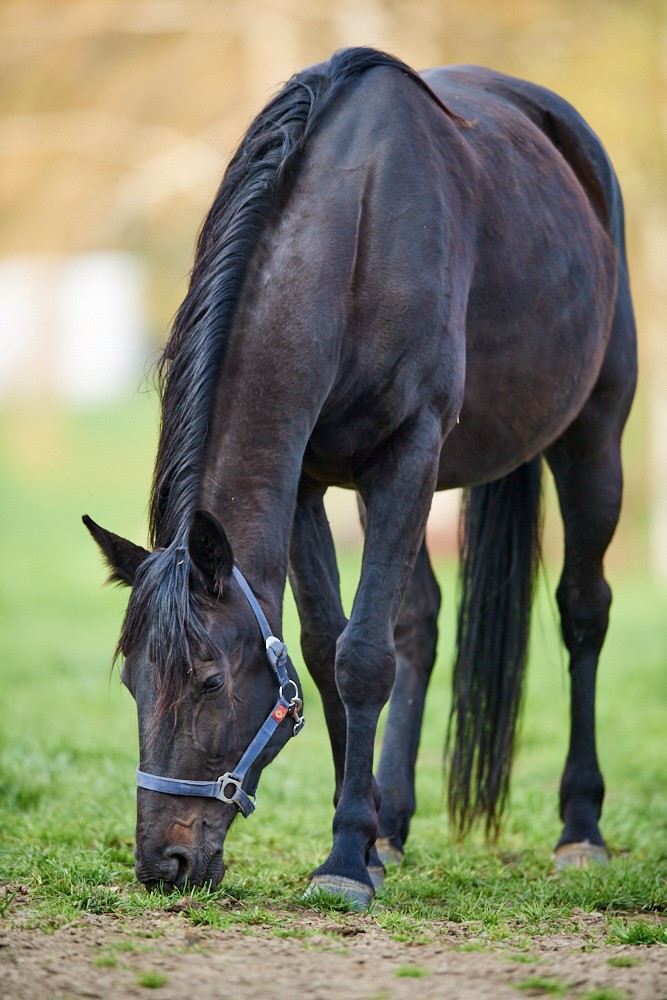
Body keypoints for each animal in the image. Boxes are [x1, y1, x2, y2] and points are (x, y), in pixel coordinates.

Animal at [84, 47, 637, 909]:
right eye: (134, 686)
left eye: (207, 682)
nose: (162, 864)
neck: (354, 241)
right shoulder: (308, 479)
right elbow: (324, 650)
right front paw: (369, 842)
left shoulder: (405, 454)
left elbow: (362, 659)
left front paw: (345, 858)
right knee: (420, 626)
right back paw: (398, 825)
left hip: (591, 438)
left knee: (582, 612)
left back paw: (580, 831)